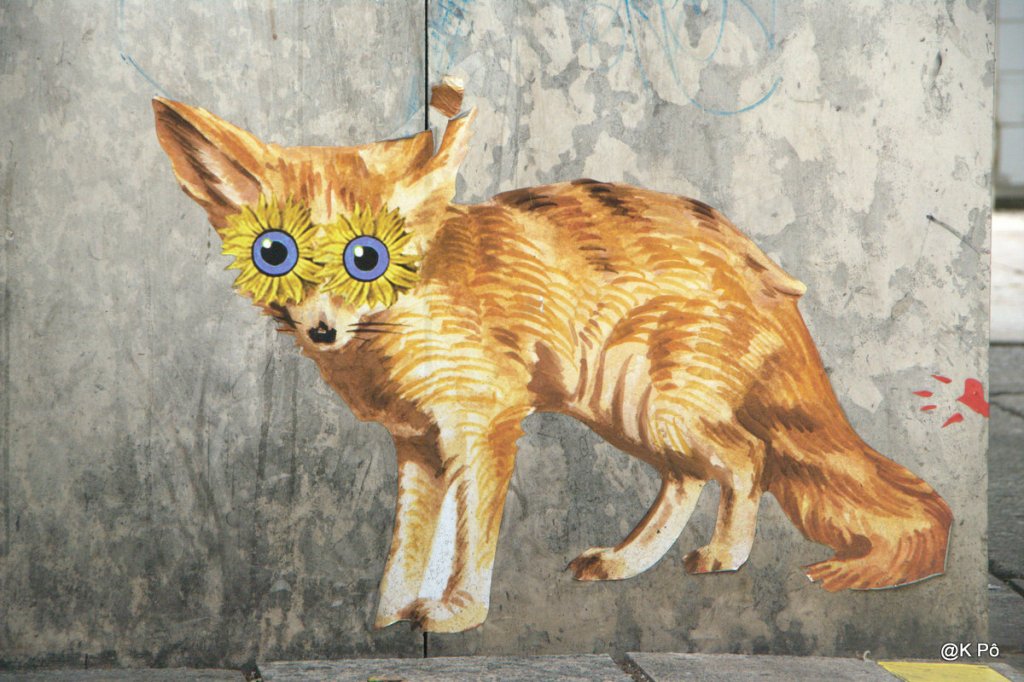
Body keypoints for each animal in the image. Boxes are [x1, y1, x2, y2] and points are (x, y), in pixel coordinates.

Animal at [152, 80, 952, 634]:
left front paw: (460, 613)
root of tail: (753, 253)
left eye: (366, 258)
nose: (320, 330)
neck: (400, 326)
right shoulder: (420, 444)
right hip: (627, 413)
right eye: (276, 254)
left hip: (661, 411)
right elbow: (409, 549)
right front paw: (389, 617)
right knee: (690, 477)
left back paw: (725, 555)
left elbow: (472, 539)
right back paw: (628, 562)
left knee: (747, 456)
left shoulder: (484, 422)